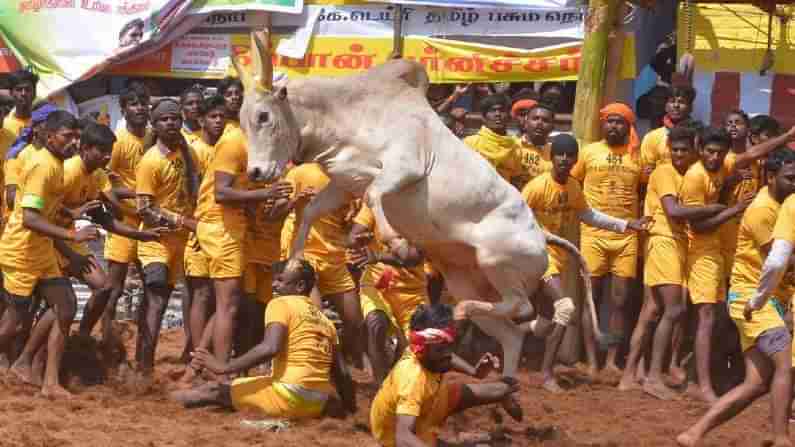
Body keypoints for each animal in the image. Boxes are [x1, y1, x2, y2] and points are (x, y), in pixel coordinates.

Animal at [239, 58, 600, 378]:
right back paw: (505, 388)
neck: (350, 115)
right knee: (512, 334)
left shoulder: (406, 167)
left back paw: (463, 314)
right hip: (465, 280)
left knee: (523, 308)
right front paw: (293, 260)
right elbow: (312, 210)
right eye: (242, 121)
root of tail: (542, 236)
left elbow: (374, 193)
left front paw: (399, 245)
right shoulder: (342, 185)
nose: (255, 172)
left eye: (264, 116)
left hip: (495, 261)